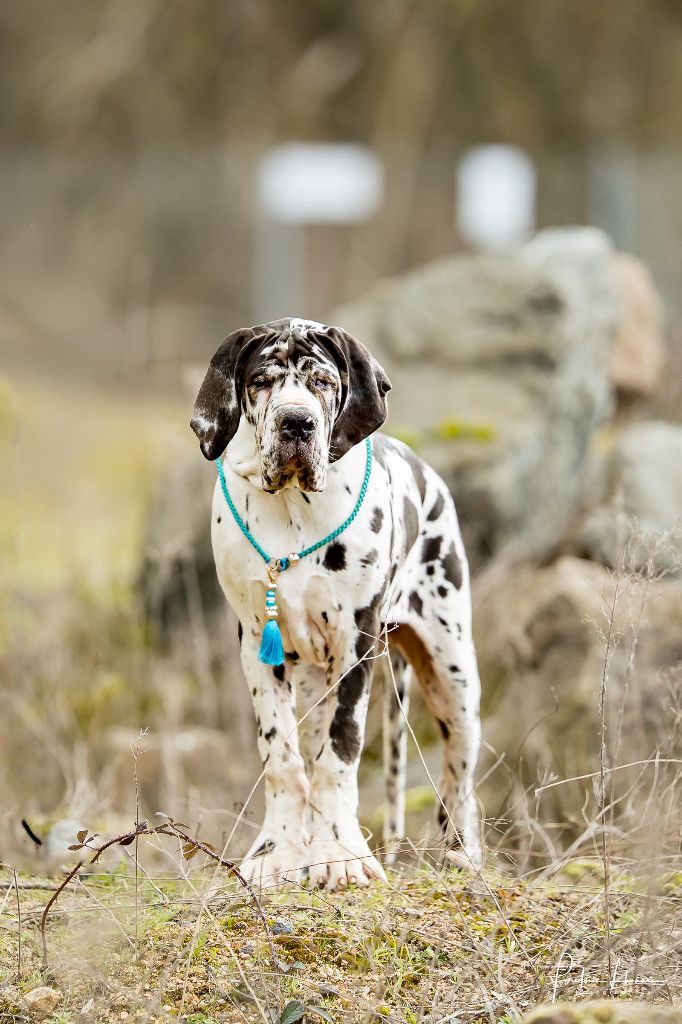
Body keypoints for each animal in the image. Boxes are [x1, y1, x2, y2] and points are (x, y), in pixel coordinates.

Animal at [190, 317, 482, 889]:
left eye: (323, 382)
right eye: (262, 381)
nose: (297, 424)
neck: (291, 511)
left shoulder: (356, 643)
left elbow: (340, 753)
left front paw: (342, 855)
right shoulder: (258, 646)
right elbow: (282, 757)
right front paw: (278, 852)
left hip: (453, 673)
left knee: (461, 765)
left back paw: (462, 854)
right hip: (312, 682)